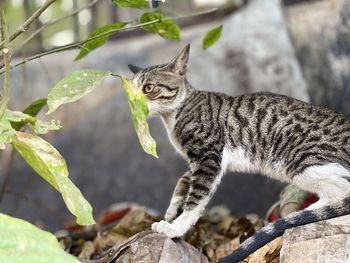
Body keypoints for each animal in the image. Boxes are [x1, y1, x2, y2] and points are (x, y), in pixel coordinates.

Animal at [128, 44, 350, 262]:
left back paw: (302, 214)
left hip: (298, 159)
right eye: (131, 91)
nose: (135, 104)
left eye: (148, 88)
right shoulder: (197, 161)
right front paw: (171, 211)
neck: (174, 117)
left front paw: (174, 228)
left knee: (341, 192)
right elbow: (182, 182)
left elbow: (196, 199)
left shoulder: (208, 157)